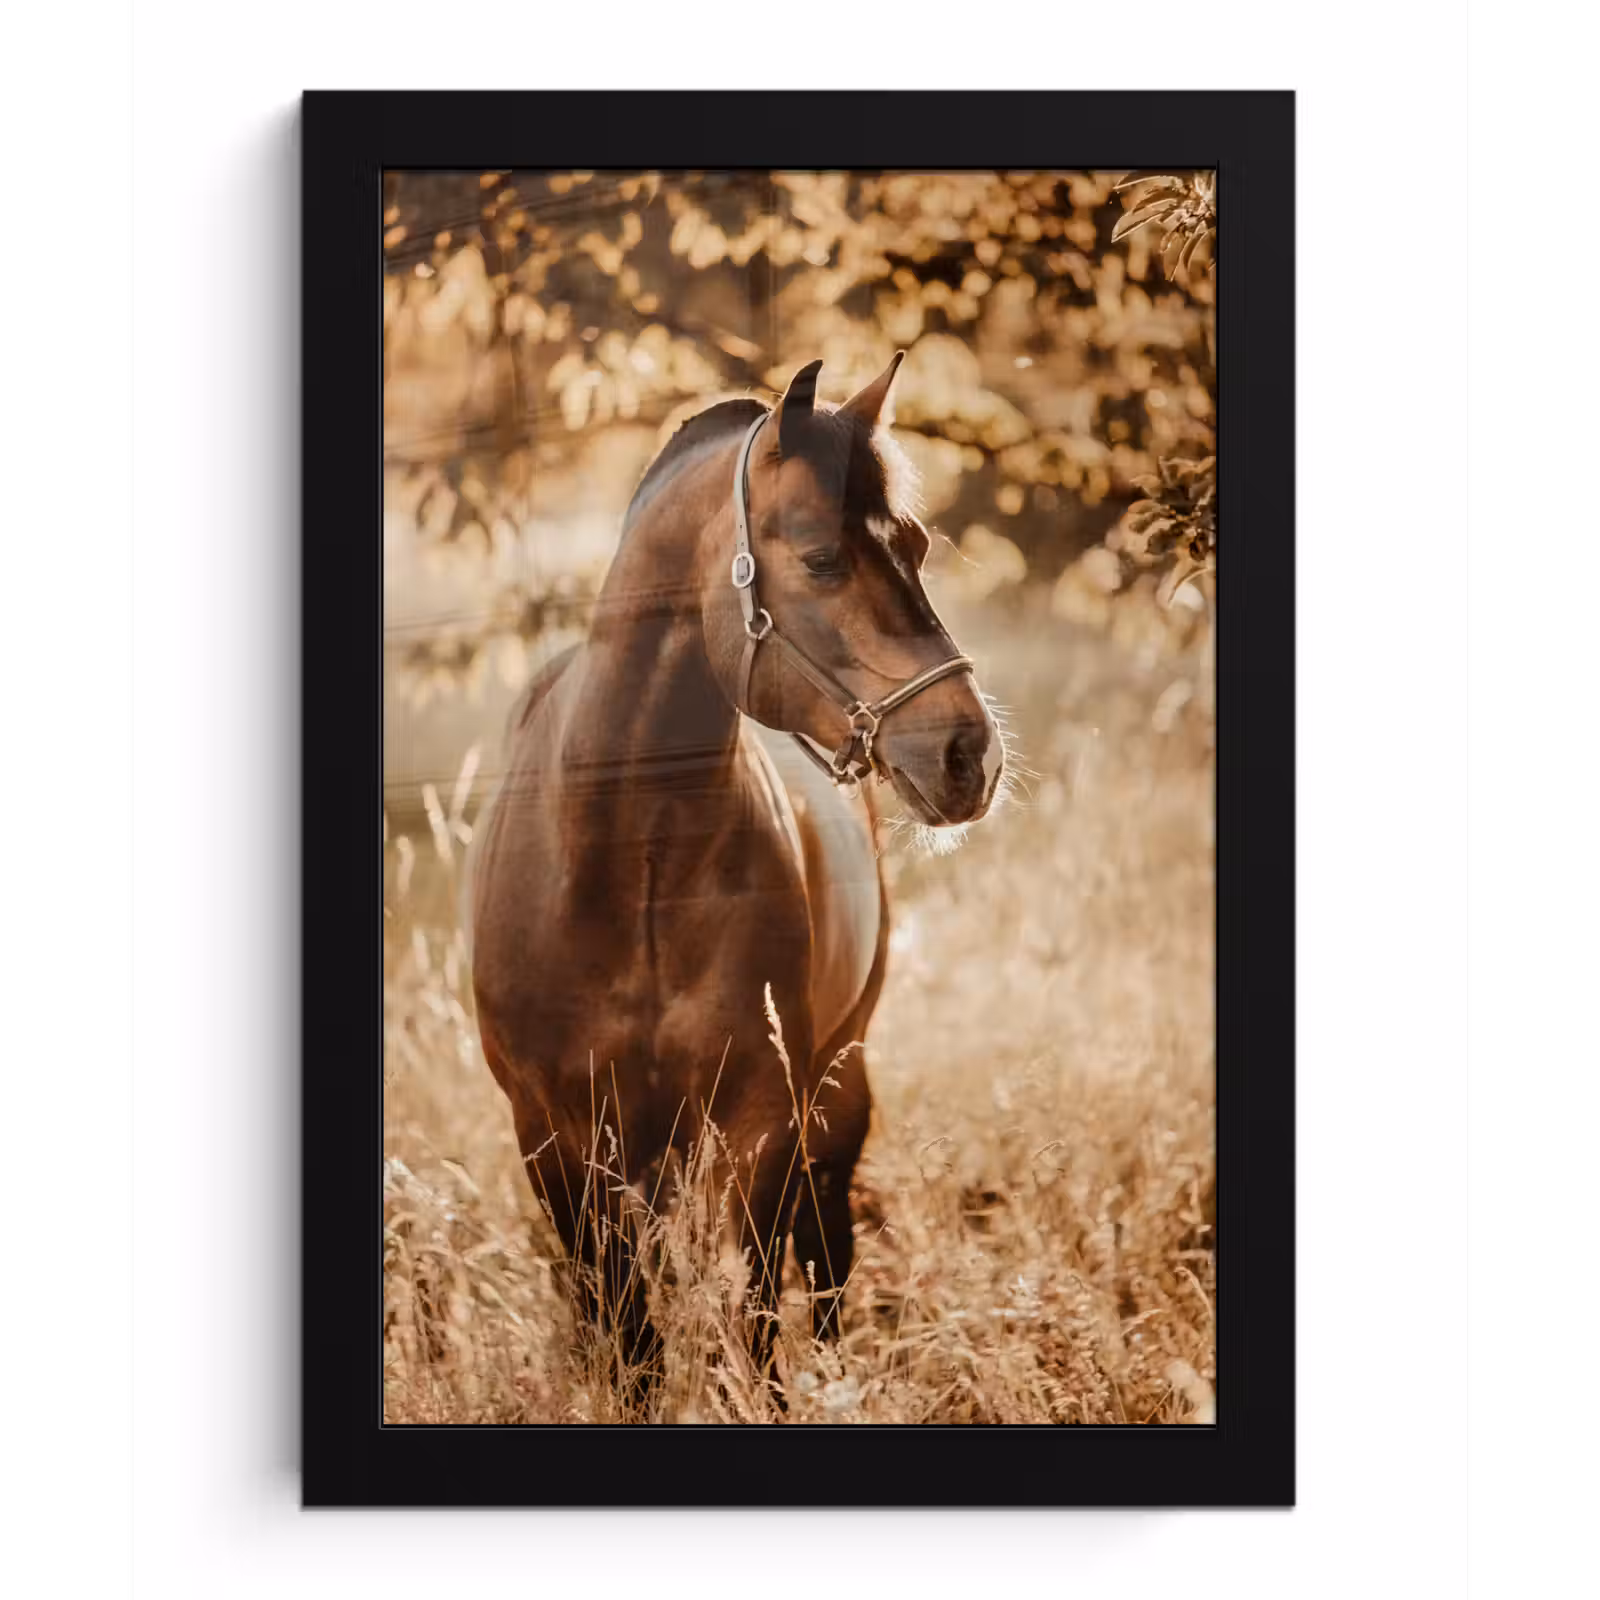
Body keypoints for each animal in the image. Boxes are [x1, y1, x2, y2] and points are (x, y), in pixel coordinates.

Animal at [466, 352, 1004, 1407]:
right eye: (822, 558)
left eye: (917, 545)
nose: (970, 752)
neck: (626, 862)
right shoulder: (554, 1138)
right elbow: (628, 1339)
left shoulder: (759, 1123)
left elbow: (755, 1323)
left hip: (835, 1086)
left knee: (825, 1256)